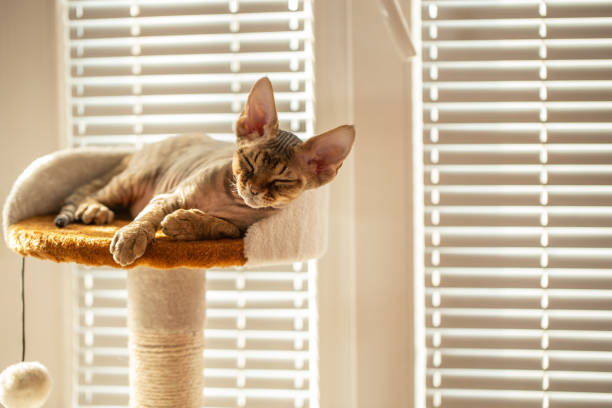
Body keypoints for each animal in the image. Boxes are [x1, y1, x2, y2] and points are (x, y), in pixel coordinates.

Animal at [56, 77, 358, 266]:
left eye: (282, 180)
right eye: (249, 162)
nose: (254, 190)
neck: (230, 199)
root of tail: (141, 148)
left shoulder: (242, 232)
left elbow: (224, 227)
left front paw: (185, 223)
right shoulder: (169, 195)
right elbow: (148, 216)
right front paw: (131, 237)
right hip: (132, 179)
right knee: (95, 193)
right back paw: (96, 210)